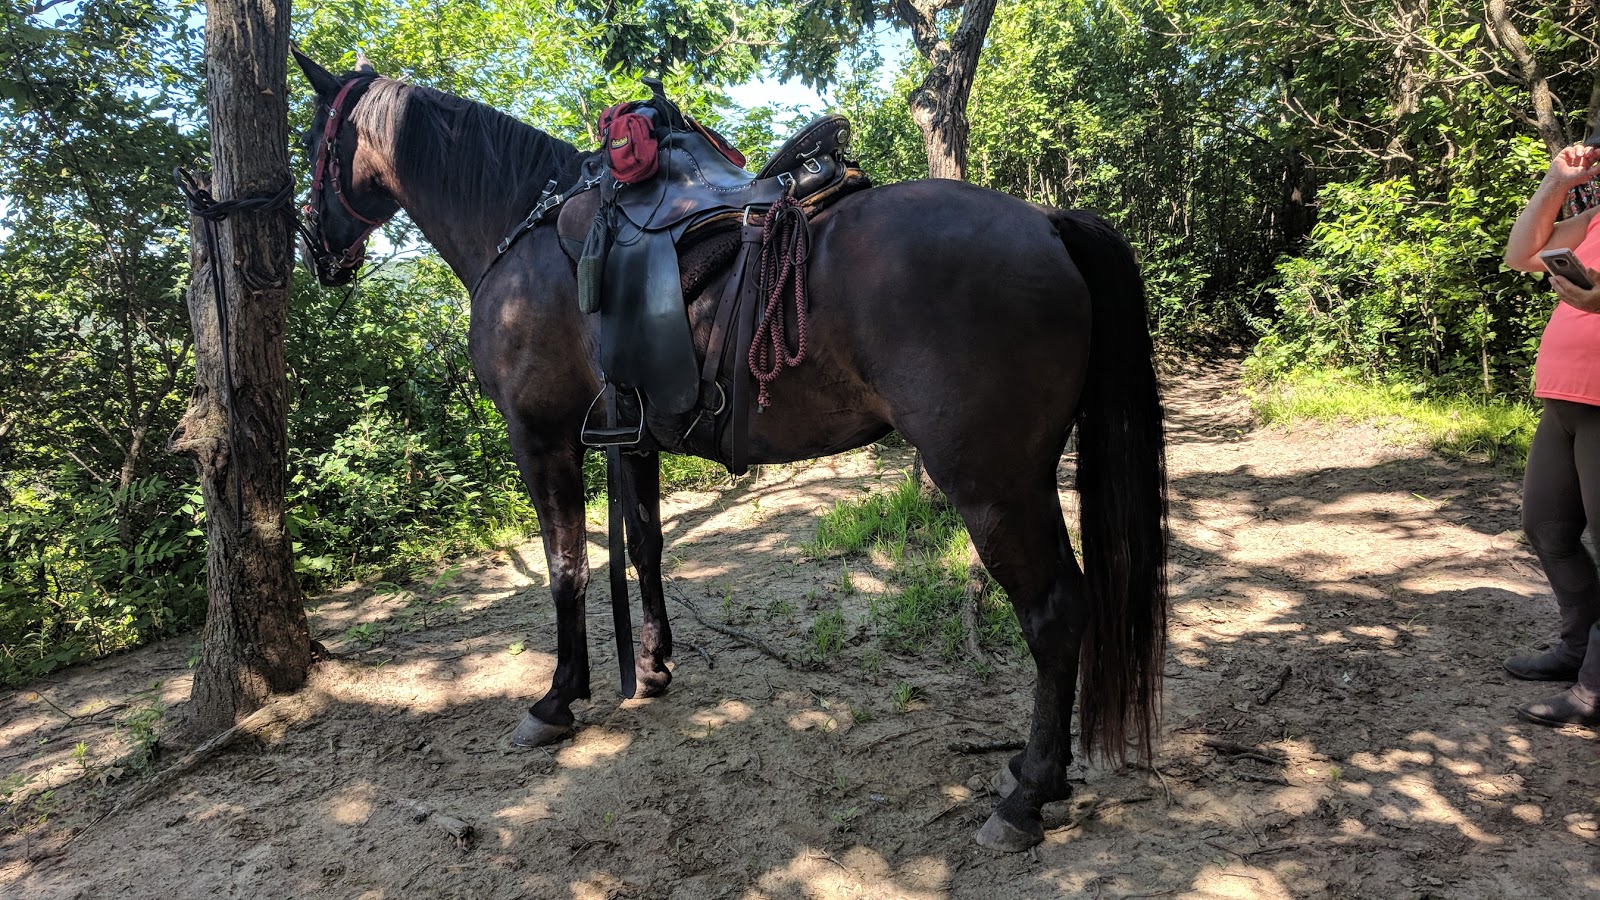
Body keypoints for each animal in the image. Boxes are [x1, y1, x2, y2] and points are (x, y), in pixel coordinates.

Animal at [290, 51, 1168, 852]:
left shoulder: (540, 436)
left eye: (312, 141)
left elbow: (567, 568)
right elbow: (643, 545)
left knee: (1054, 613)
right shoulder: (630, 438)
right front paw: (651, 669)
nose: (317, 249)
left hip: (993, 483)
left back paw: (1026, 796)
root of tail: (1046, 222)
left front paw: (558, 700)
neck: (527, 235)